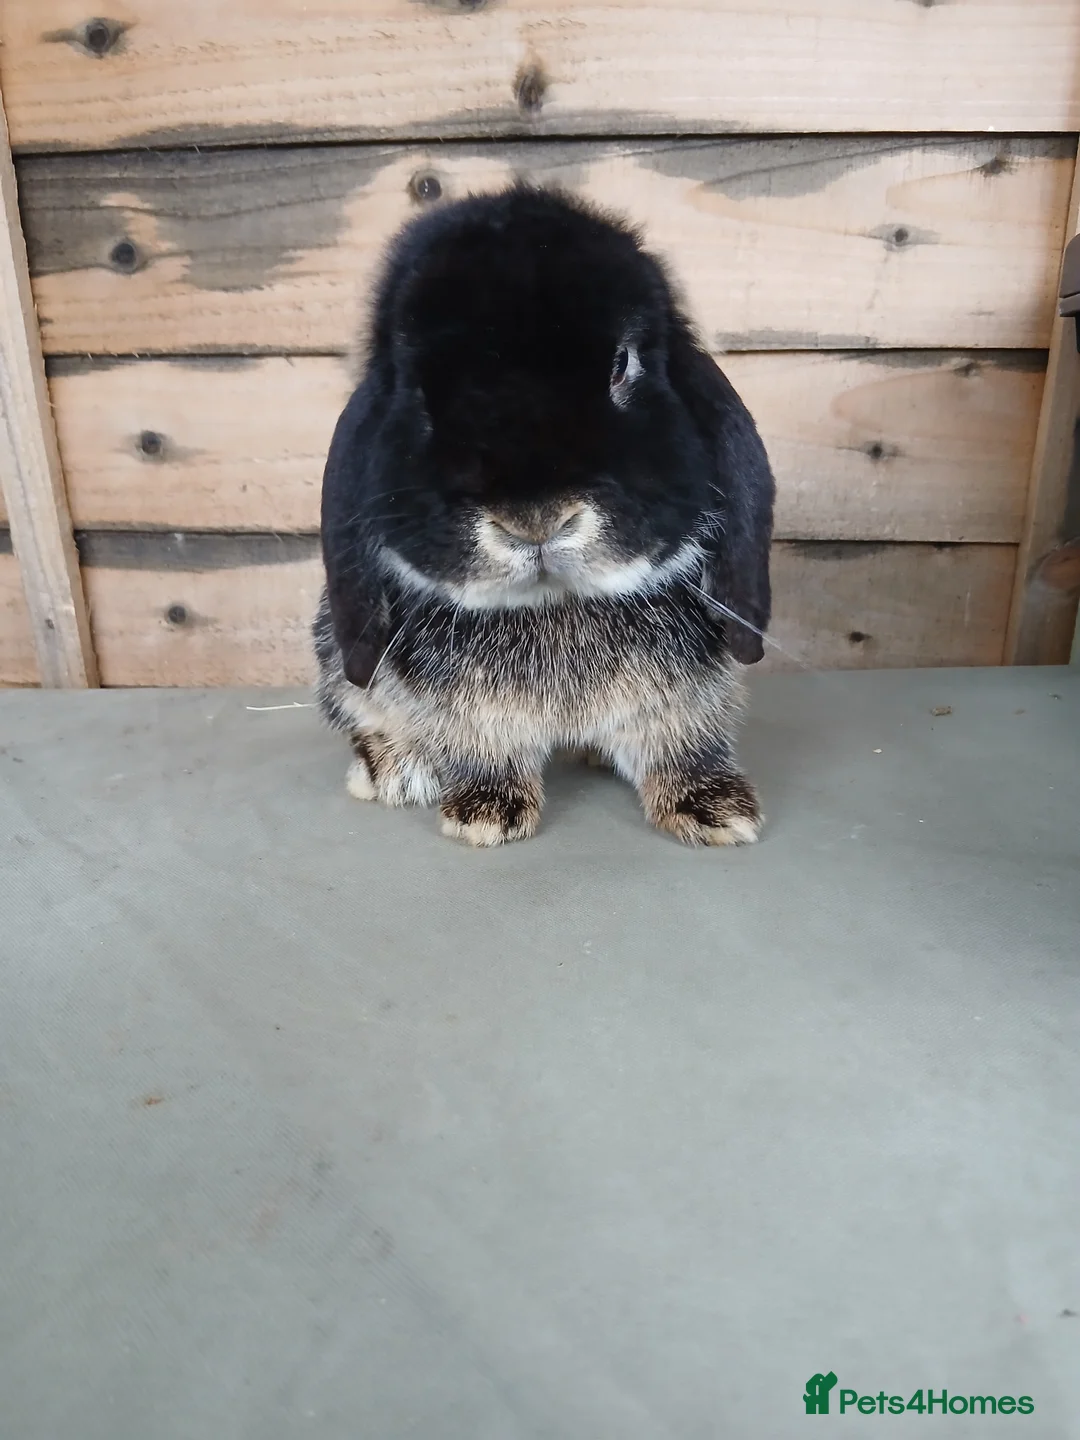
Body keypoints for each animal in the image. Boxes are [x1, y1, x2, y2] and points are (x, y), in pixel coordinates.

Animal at [313, 184, 775, 847]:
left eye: (622, 365)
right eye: (421, 394)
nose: (534, 521)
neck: (556, 602)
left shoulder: (685, 693)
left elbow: (684, 738)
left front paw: (715, 811)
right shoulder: (467, 708)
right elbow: (482, 744)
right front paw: (486, 815)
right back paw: (394, 770)